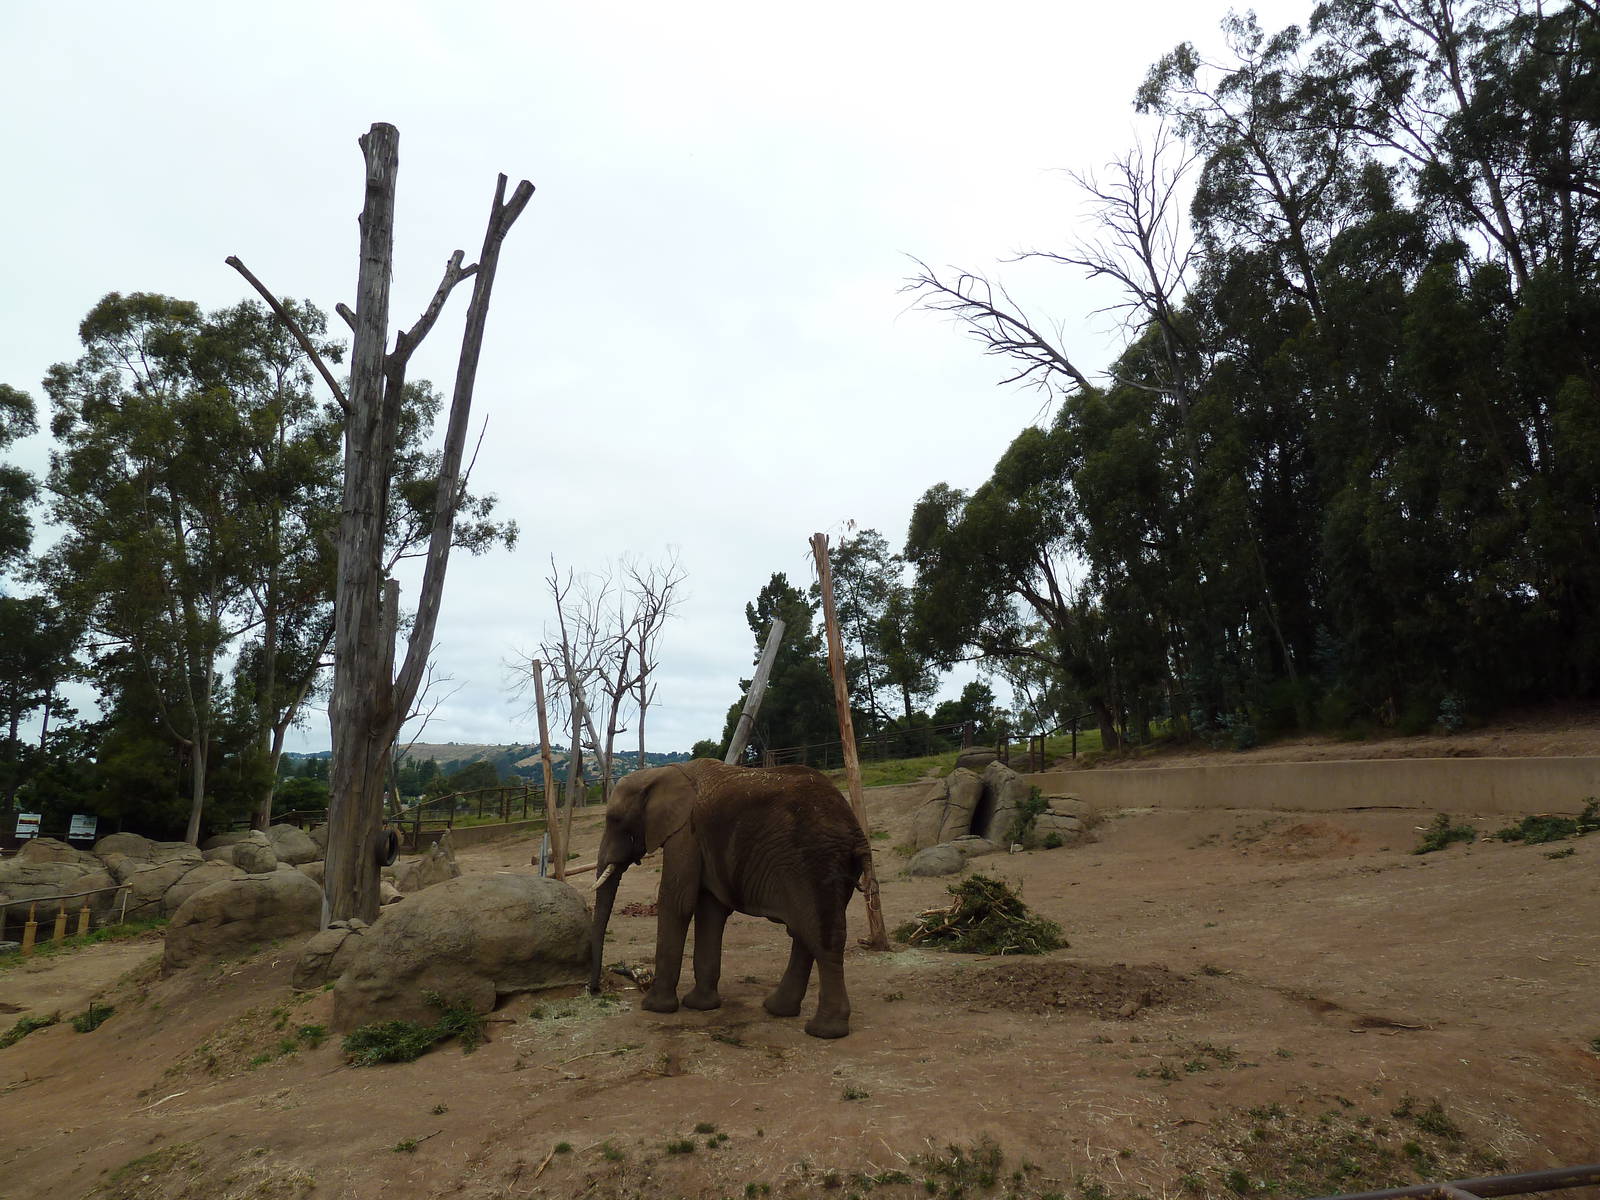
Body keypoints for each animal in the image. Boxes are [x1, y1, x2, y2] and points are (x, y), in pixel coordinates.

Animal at [587, 758, 870, 1039]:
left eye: (614, 819)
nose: (594, 990)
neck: (660, 773)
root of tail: (856, 833)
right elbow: (710, 909)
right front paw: (701, 1006)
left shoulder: (684, 832)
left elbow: (676, 902)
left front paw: (655, 1008)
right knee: (806, 934)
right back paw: (778, 1010)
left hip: (814, 862)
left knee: (821, 937)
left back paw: (824, 1031)